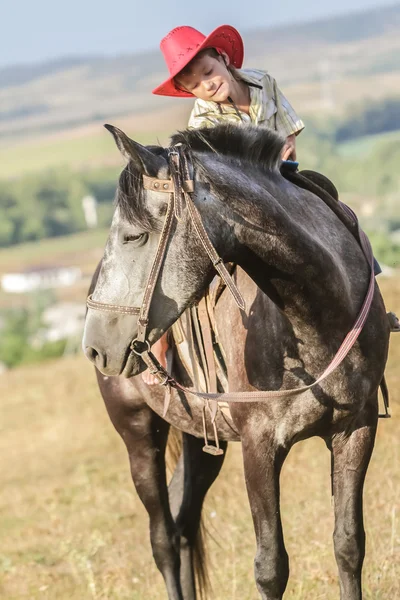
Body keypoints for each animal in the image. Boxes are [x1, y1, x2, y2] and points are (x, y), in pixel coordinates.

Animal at [83, 123, 390, 600]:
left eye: (134, 236)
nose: (95, 345)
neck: (316, 315)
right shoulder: (259, 445)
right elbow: (271, 567)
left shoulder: (356, 428)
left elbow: (349, 543)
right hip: (137, 433)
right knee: (163, 538)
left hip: (201, 441)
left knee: (183, 522)